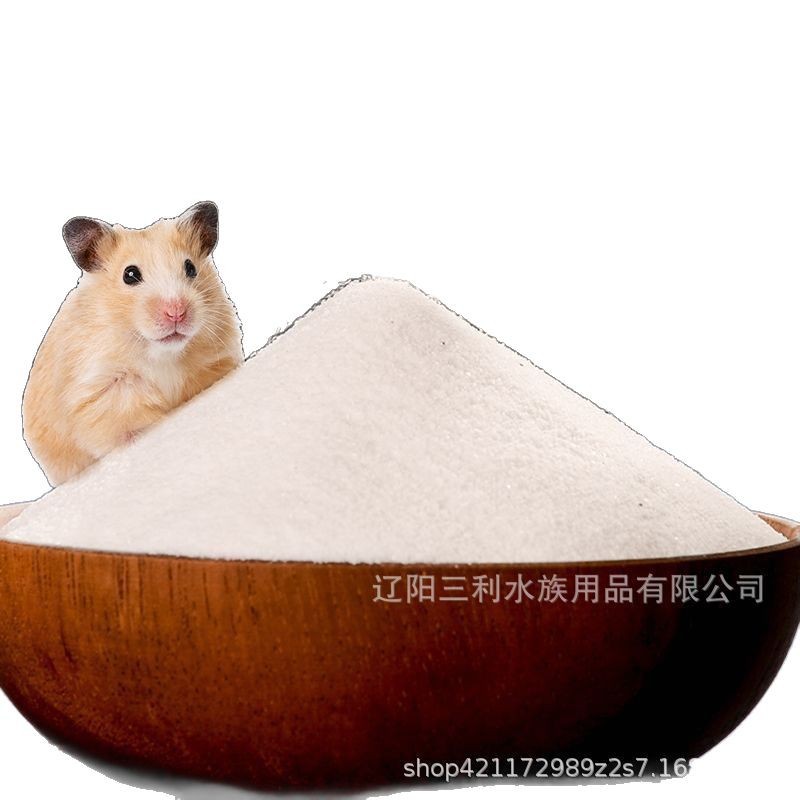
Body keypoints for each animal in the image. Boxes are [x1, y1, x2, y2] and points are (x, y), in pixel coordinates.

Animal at [22, 201, 244, 486]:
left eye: (191, 268)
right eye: (130, 275)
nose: (176, 313)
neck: (161, 353)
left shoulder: (217, 358)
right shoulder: (102, 390)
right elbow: (125, 426)